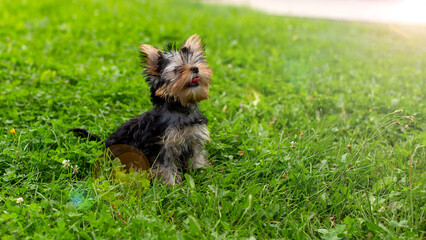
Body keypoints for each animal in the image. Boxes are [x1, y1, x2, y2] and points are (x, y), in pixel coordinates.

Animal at [69, 34, 213, 186]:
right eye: (178, 69)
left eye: (195, 62)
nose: (195, 68)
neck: (180, 109)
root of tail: (105, 143)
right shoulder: (162, 147)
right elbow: (166, 168)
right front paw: (172, 187)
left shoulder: (194, 140)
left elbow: (197, 158)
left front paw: (202, 174)